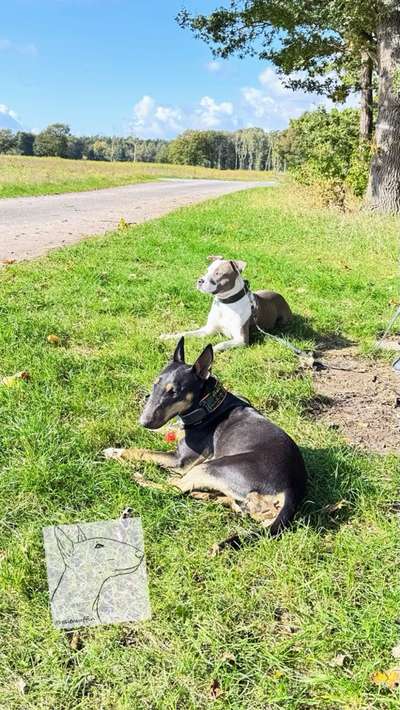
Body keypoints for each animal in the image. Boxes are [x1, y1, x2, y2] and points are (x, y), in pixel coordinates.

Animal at [104, 340, 306, 536]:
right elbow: (169, 429)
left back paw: (137, 477)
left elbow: (143, 452)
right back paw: (201, 494)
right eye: (155, 384)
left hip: (211, 467)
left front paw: (117, 452)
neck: (208, 406)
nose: (143, 422)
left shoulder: (180, 460)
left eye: (174, 392)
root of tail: (292, 489)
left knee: (173, 488)